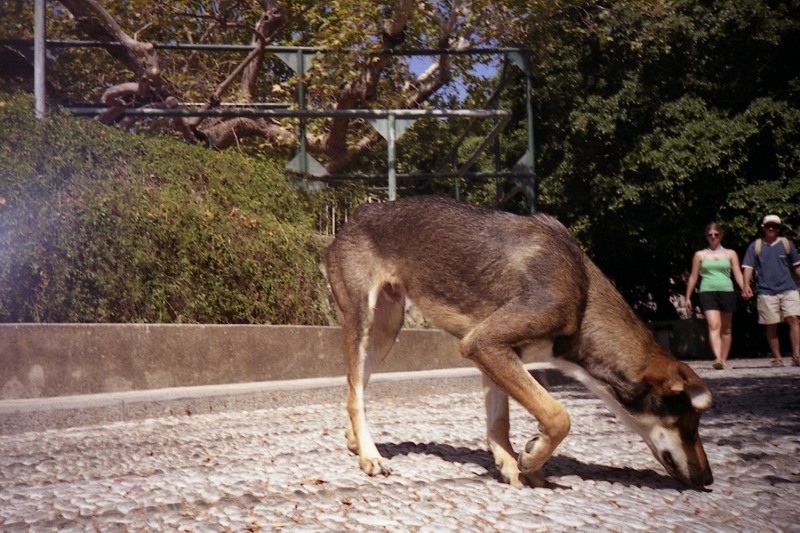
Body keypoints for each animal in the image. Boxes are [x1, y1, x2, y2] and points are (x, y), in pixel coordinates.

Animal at [324, 195, 712, 486]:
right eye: (689, 423)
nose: (708, 479)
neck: (581, 291)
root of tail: (357, 214)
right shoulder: (484, 345)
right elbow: (557, 415)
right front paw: (530, 458)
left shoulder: (494, 355)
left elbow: (500, 422)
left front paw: (512, 465)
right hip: (366, 320)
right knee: (356, 392)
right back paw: (370, 456)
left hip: (386, 331)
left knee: (355, 386)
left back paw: (354, 440)